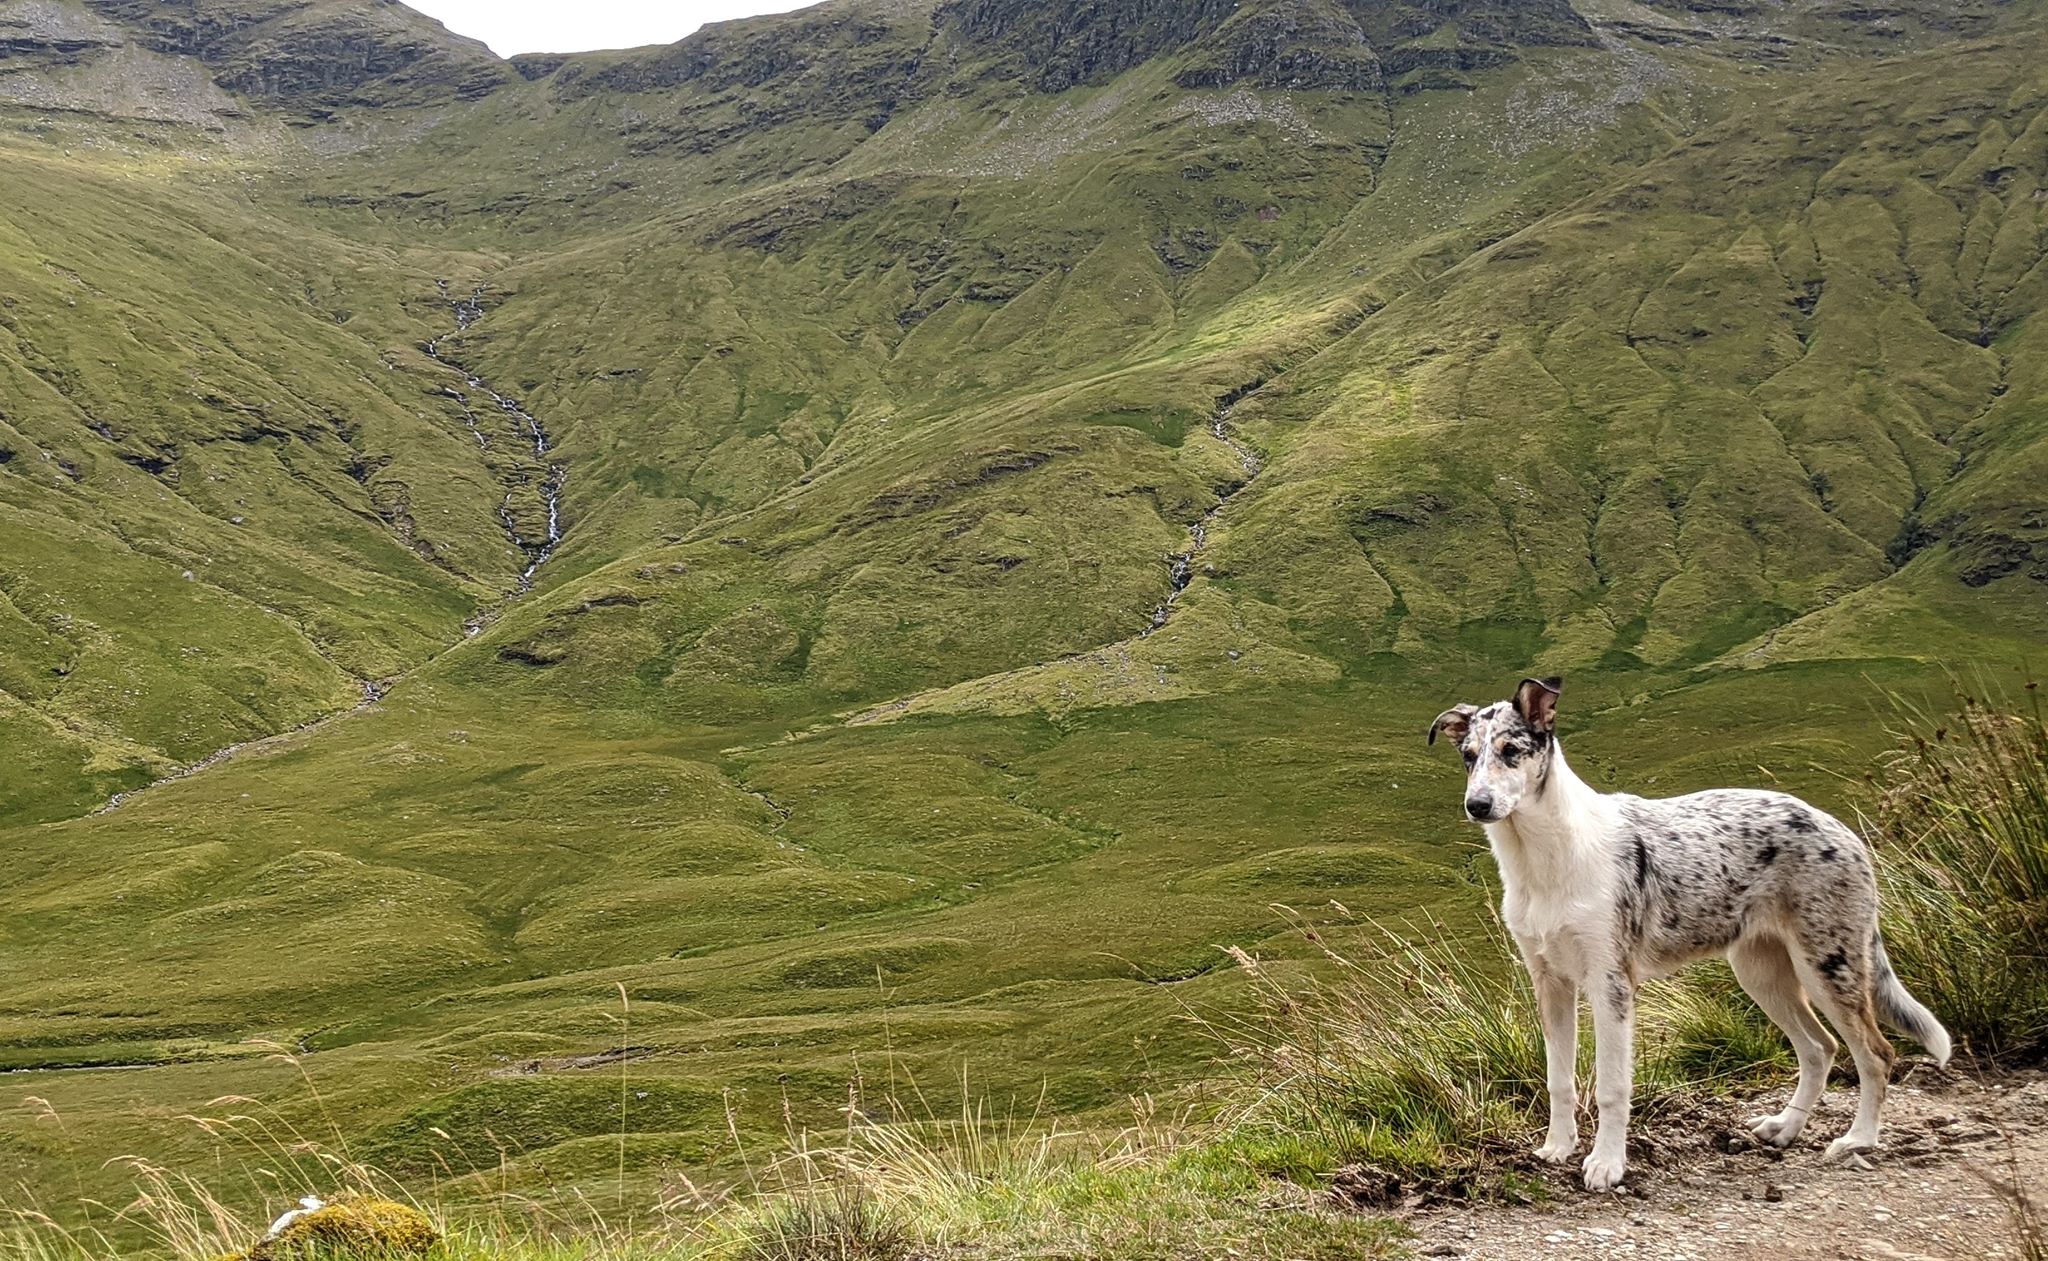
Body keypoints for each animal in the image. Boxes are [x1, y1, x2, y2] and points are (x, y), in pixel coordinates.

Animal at [1433, 675, 1941, 1187]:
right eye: (1468, 756)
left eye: (1511, 751)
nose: (1477, 805)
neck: (1545, 858)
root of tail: (1840, 829)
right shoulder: (1550, 982)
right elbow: (1560, 1078)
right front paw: (1558, 1147)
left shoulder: (1610, 984)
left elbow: (1613, 1085)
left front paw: (1607, 1164)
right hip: (1762, 973)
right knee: (1820, 1048)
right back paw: (1785, 1128)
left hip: (1828, 965)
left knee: (1875, 1054)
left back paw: (1859, 1140)